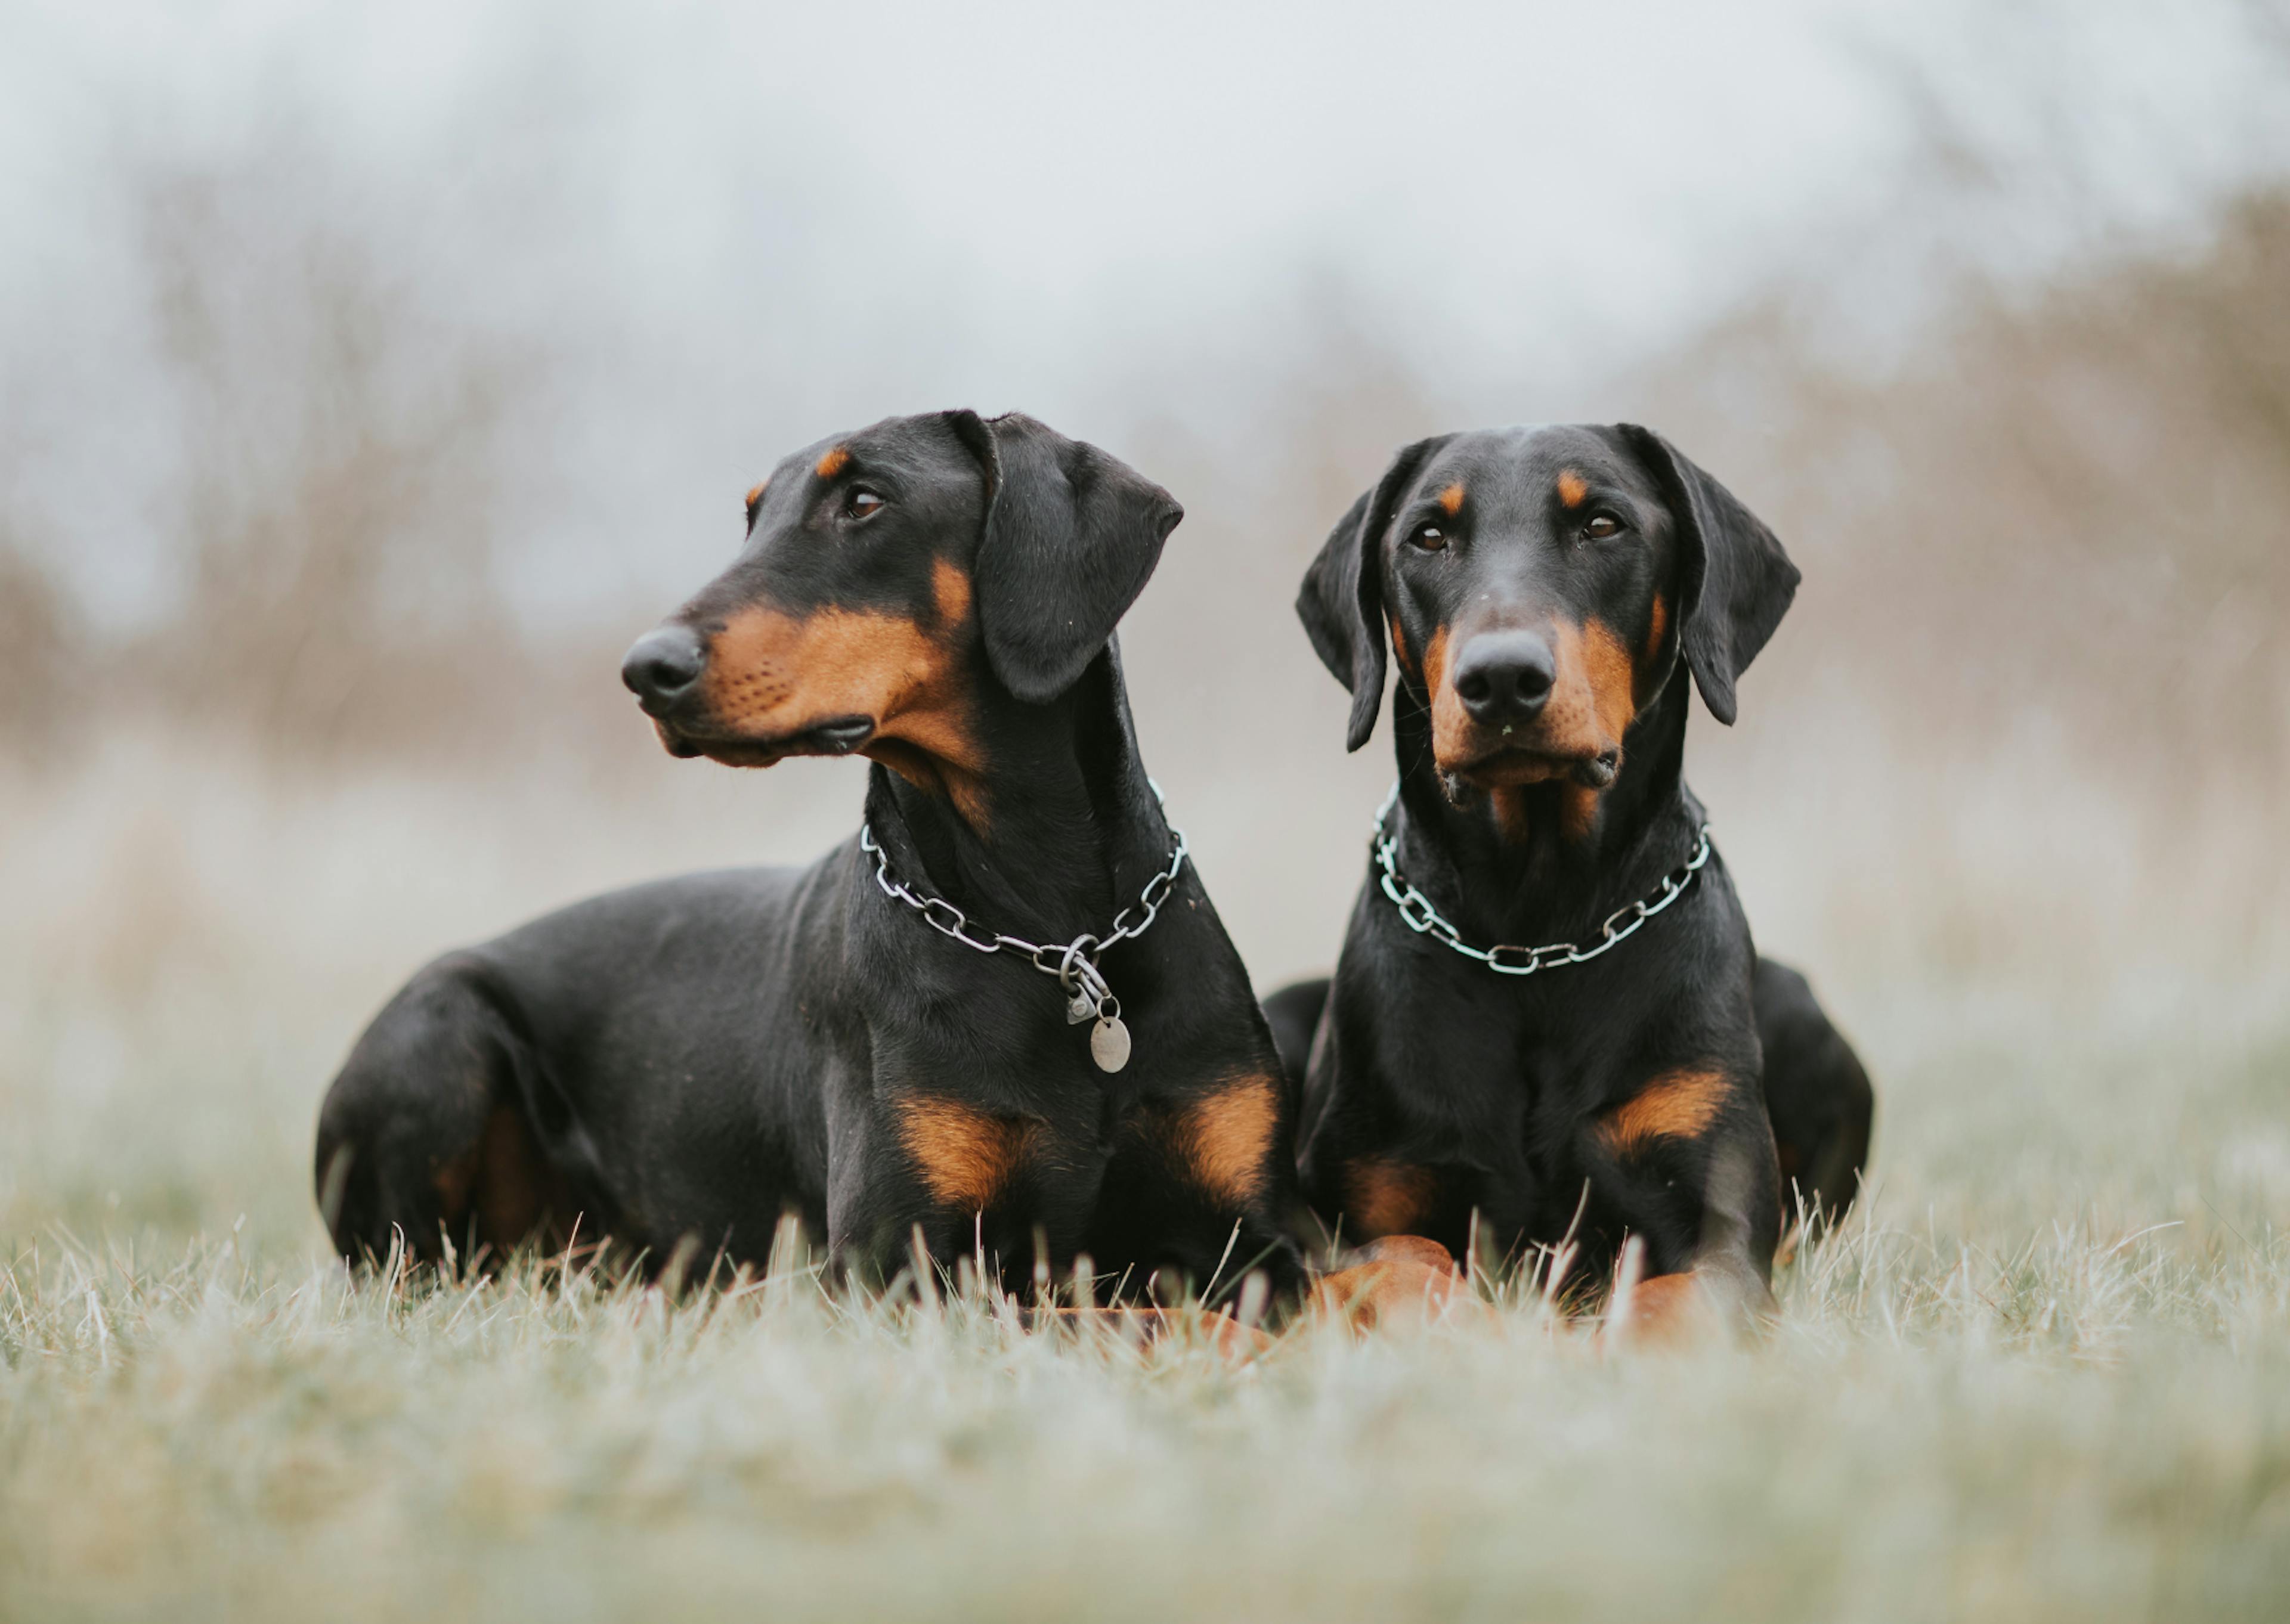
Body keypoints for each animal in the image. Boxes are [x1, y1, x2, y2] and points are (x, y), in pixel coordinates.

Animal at [309, 407, 1310, 1301]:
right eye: (752, 517)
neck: (1056, 936)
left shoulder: (1253, 1240)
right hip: (440, 1032)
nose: (645, 671)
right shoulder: (895, 1263)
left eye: (864, 501)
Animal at [1264, 421, 1868, 1347]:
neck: (1536, 931)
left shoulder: (1714, 1232)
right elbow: (1405, 1263)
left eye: (1604, 526)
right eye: (1427, 537)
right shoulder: (1346, 1213)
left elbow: (1673, 1299)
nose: (1502, 679)